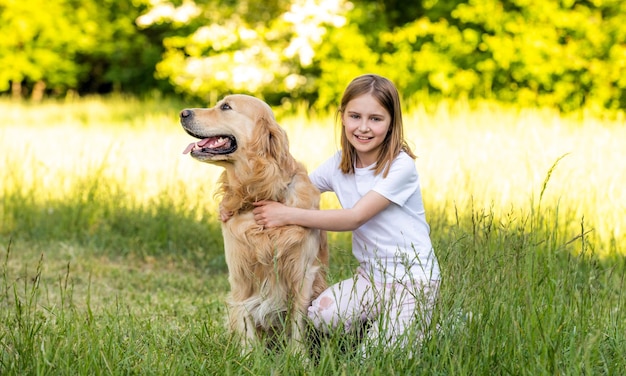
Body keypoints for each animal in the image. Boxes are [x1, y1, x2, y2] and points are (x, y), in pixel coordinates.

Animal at [178, 94, 326, 352]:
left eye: (226, 106)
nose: (183, 113)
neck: (259, 193)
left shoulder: (303, 272)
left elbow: (297, 321)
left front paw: (299, 357)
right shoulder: (239, 272)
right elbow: (245, 315)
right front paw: (248, 355)